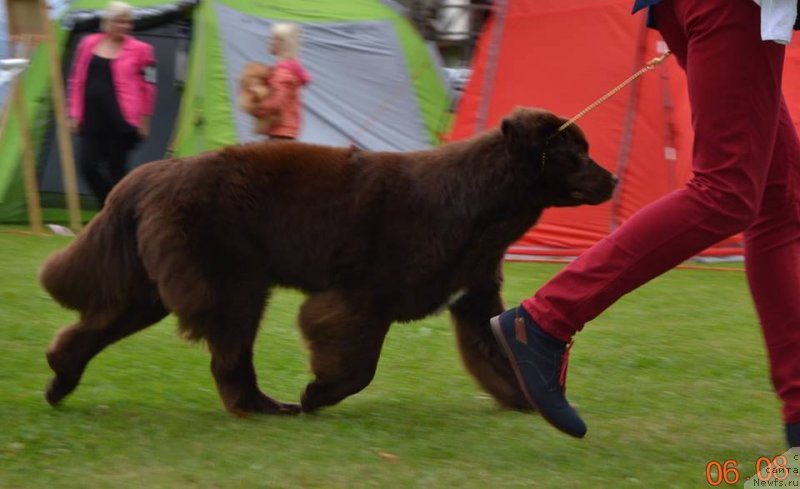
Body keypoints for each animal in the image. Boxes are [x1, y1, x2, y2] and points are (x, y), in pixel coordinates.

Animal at [40, 107, 616, 416]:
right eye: (576, 154)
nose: (612, 179)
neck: (478, 204)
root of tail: (150, 174)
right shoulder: (365, 296)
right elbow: (358, 364)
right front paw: (318, 393)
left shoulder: (473, 299)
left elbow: (498, 355)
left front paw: (533, 401)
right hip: (232, 284)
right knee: (229, 358)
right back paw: (265, 407)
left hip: (154, 289)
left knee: (92, 329)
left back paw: (59, 379)